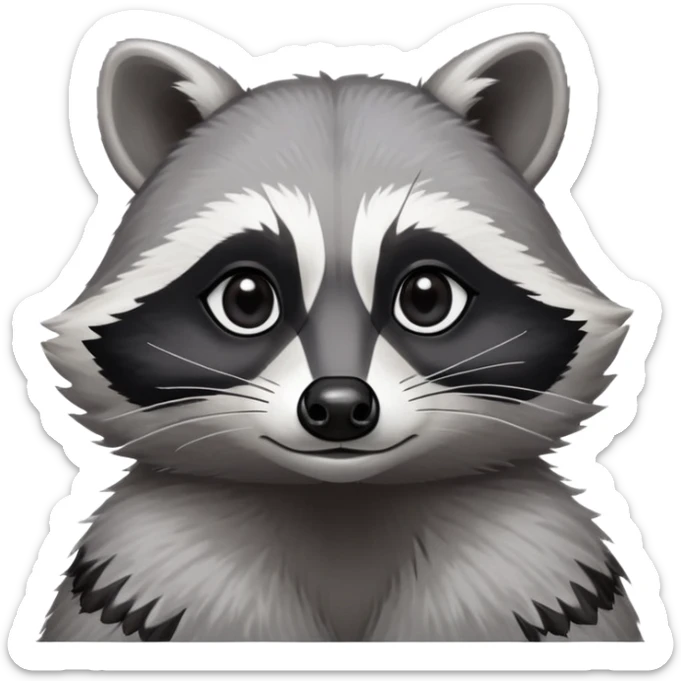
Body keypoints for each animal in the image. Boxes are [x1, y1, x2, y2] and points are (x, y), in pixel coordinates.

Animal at [39, 33, 642, 642]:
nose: (337, 406)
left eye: (426, 297)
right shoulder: (163, 573)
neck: (343, 503)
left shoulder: (525, 571)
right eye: (246, 300)